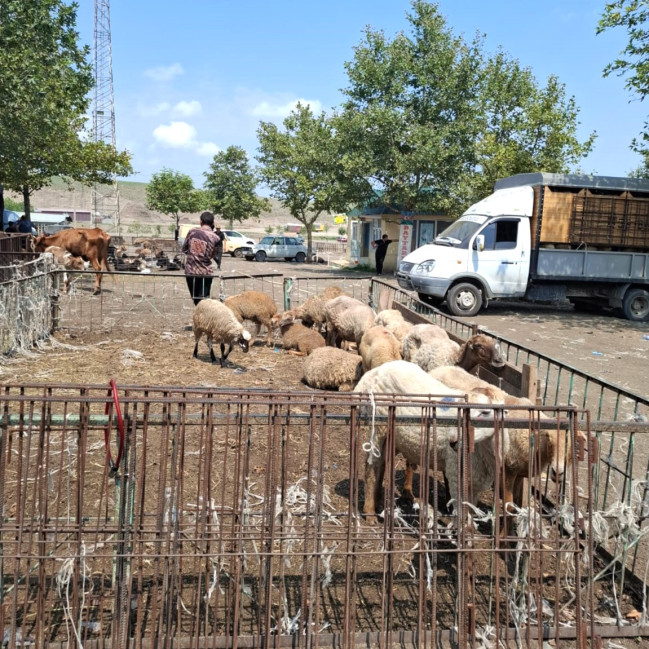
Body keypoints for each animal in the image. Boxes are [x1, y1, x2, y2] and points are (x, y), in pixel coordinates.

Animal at [352, 360, 504, 516]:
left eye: (486, 412)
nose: (453, 440)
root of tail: (377, 370)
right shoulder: (455, 474)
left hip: (394, 437)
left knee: (382, 462)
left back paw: (378, 501)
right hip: (379, 426)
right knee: (371, 464)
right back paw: (369, 510)